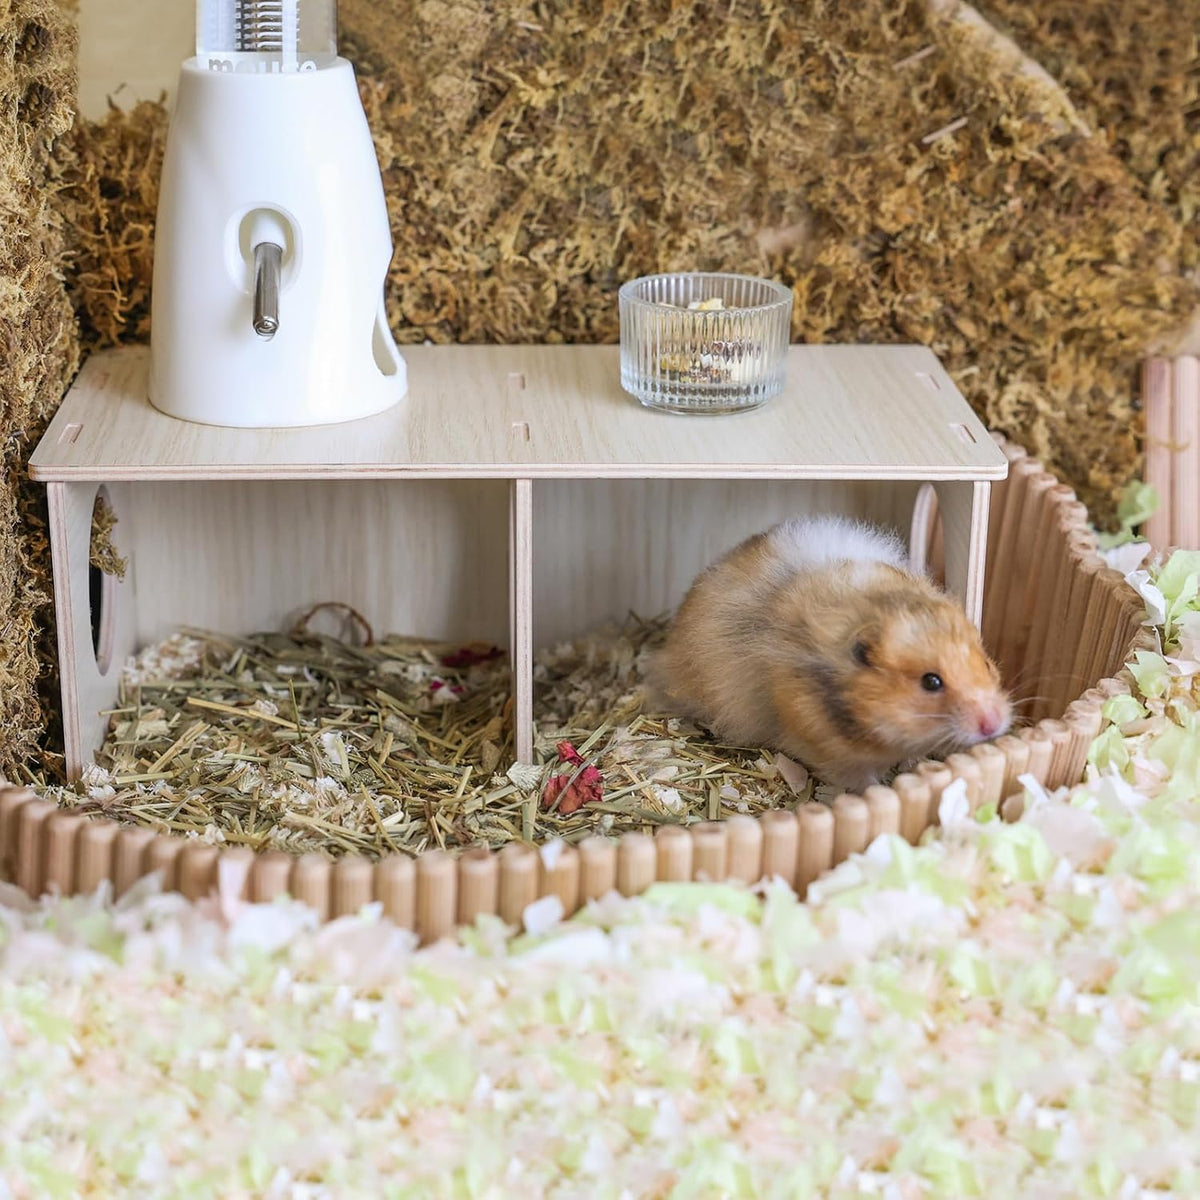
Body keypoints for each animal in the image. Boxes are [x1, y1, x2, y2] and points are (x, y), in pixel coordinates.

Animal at [649, 514, 1012, 793]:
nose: (994, 723)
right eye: (931, 682)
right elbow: (859, 777)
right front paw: (876, 787)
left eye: (986, 664)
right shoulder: (818, 742)